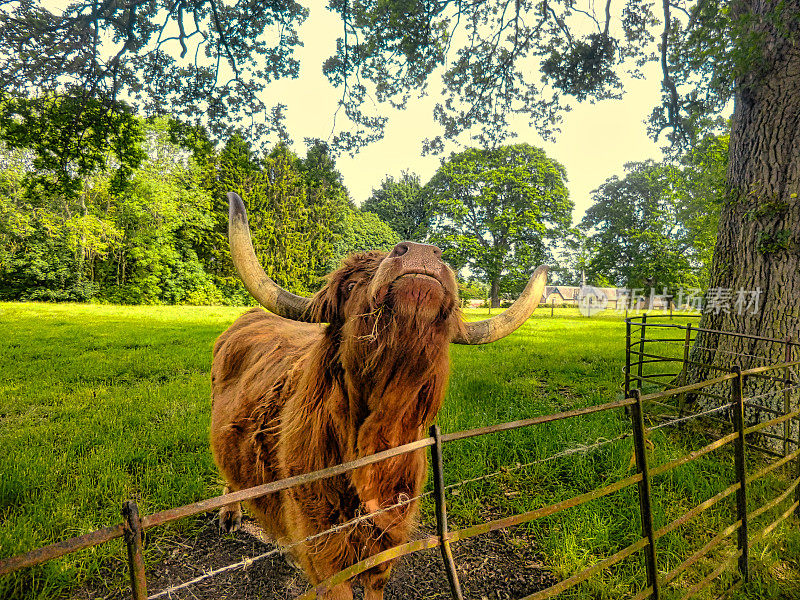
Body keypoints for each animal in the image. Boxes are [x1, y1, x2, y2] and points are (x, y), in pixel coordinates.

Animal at [209, 193, 548, 600]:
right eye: (352, 284)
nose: (422, 251)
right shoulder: (321, 546)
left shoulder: (390, 536)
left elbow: (376, 582)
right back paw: (230, 517)